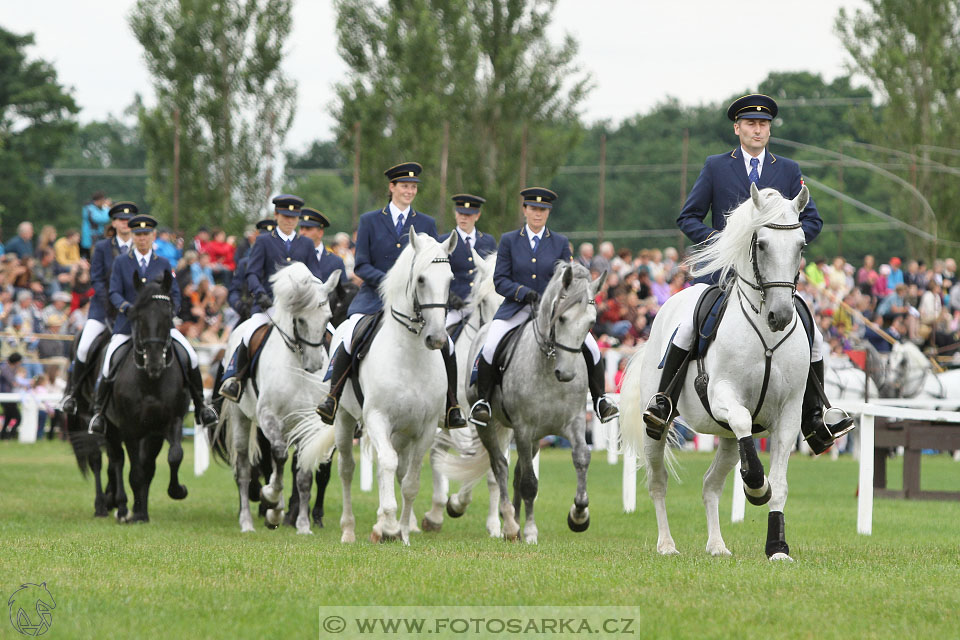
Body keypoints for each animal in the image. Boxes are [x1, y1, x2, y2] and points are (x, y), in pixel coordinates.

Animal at [102, 272, 191, 524]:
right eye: (138, 316)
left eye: (168, 315)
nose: (154, 363)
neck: (151, 381)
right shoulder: (130, 429)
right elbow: (135, 471)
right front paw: (134, 512)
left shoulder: (169, 423)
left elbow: (174, 456)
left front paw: (177, 490)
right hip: (112, 428)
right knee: (118, 461)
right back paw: (123, 508)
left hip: (151, 434)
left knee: (147, 465)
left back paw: (139, 510)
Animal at [215, 262, 342, 532]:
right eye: (300, 319)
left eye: (327, 318)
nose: (314, 365)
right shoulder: (268, 416)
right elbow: (280, 456)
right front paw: (270, 497)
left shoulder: (308, 424)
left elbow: (303, 474)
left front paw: (303, 525)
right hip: (243, 419)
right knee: (245, 469)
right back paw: (247, 521)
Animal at [294, 230, 456, 544]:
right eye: (420, 279)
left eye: (450, 279)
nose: (438, 339)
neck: (410, 356)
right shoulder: (378, 419)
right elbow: (387, 464)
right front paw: (390, 526)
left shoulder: (426, 428)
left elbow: (411, 481)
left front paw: (402, 532)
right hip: (345, 421)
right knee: (347, 469)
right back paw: (349, 530)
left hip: (402, 433)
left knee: (396, 468)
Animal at [424, 252, 506, 536]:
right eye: (483, 302)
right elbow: (471, 458)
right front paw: (457, 503)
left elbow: (492, 469)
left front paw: (495, 526)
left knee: (436, 453)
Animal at [620, 184, 812, 560]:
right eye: (761, 244)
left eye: (801, 245)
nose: (781, 316)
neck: (766, 337)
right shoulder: (723, 393)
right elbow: (742, 421)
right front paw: (756, 486)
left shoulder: (789, 412)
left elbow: (780, 484)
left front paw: (777, 546)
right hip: (656, 429)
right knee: (657, 482)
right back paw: (667, 544)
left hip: (724, 441)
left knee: (711, 484)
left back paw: (717, 545)